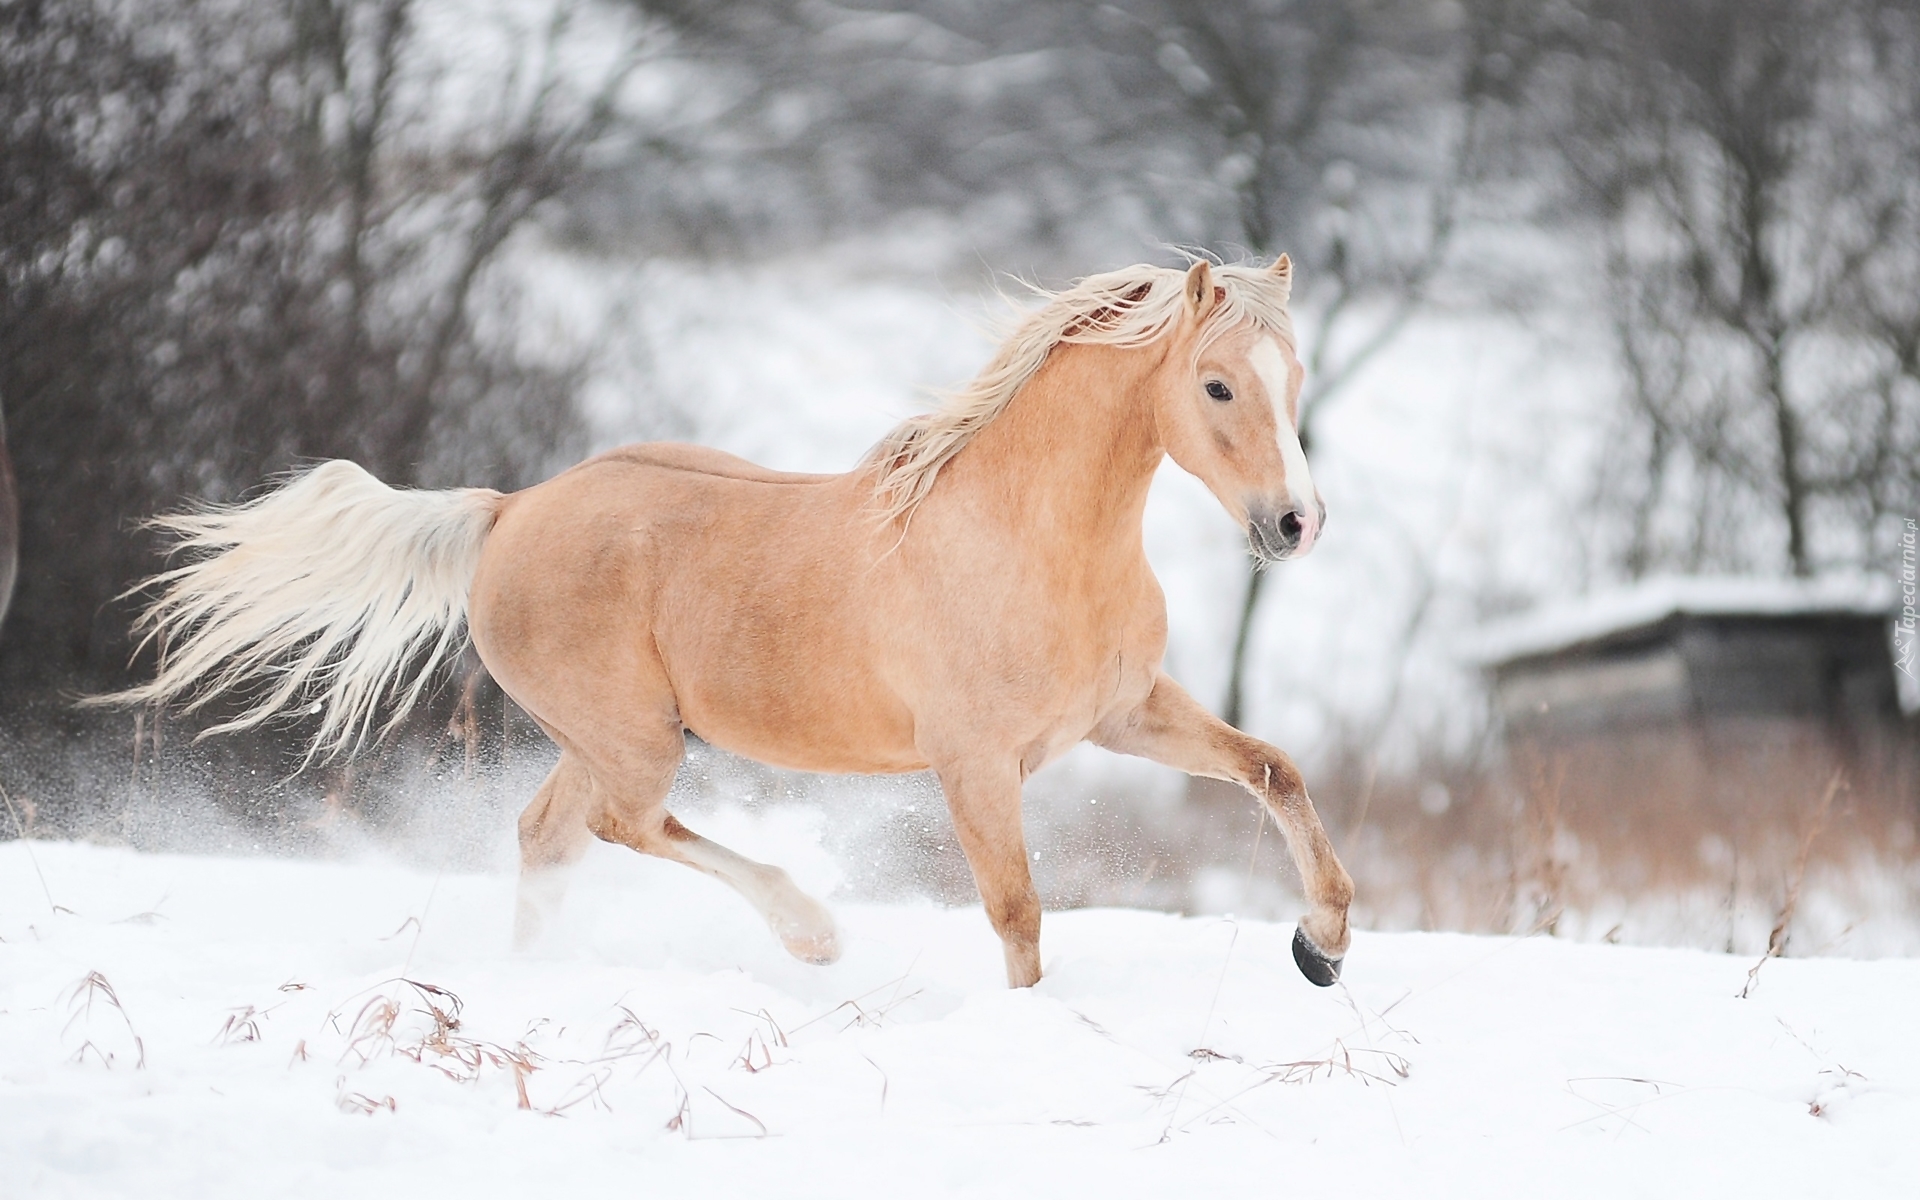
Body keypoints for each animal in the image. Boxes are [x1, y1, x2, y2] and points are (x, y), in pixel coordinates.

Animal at [112, 257, 1359, 990]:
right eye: (1216, 386)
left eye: (1294, 375)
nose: (1297, 523)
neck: (1027, 539)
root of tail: (508, 511)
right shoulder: (973, 763)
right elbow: (1018, 915)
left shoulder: (1125, 715)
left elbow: (1275, 769)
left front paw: (1324, 946)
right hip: (636, 738)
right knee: (620, 826)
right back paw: (809, 932)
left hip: (600, 739)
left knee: (549, 835)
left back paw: (532, 984)